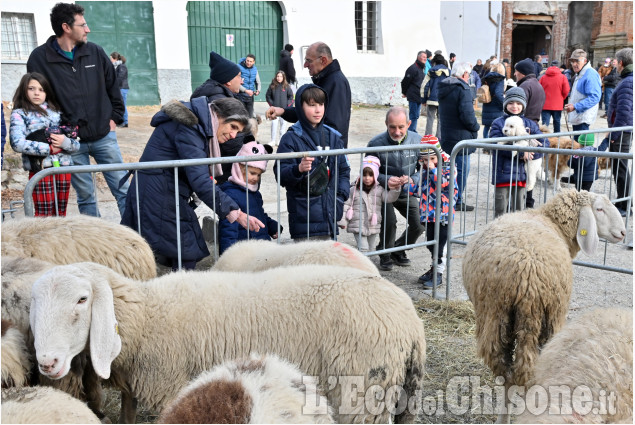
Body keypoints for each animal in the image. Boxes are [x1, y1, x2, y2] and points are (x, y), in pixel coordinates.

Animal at [462, 190, 628, 424]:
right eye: (599, 209)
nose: (623, 233)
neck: (549, 219)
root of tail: (527, 276)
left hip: (496, 316)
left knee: (507, 373)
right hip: (548, 319)